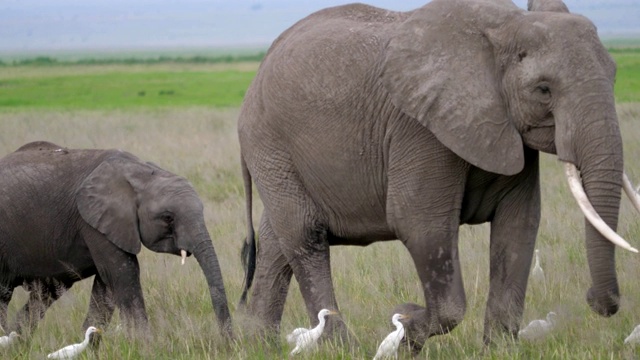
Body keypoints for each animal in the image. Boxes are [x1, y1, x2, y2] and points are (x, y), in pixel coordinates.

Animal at [0, 141, 232, 338]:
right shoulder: (93, 222)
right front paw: (147, 346)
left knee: (45, 293)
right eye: (168, 217)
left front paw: (91, 340)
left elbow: (106, 285)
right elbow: (123, 274)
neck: (140, 173)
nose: (228, 343)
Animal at [238, 0, 640, 352]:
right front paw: (406, 328)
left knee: (277, 240)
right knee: (306, 236)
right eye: (543, 89)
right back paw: (341, 348)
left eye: (615, 76)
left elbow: (520, 223)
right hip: (269, 142)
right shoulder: (420, 129)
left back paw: (261, 344)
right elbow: (420, 223)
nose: (595, 300)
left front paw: (499, 350)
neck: (505, 27)